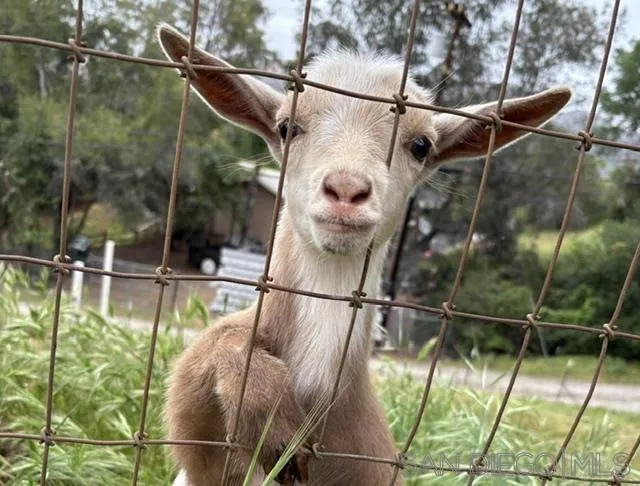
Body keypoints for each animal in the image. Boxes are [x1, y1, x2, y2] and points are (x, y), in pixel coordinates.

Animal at [157, 24, 571, 486]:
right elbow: (204, 364)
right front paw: (274, 426)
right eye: (286, 127)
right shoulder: (201, 451)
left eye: (421, 145)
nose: (346, 188)